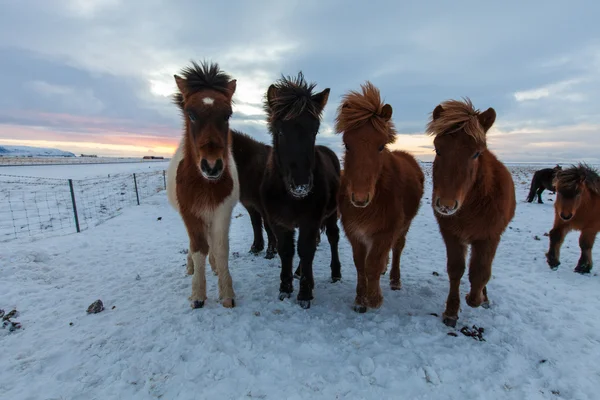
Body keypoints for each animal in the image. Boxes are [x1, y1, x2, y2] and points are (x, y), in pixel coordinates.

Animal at [166, 60, 239, 310]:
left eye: (227, 115)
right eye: (191, 114)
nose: (212, 166)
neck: (204, 184)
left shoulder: (222, 211)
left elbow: (221, 249)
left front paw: (227, 293)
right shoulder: (190, 213)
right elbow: (198, 249)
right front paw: (198, 294)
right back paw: (190, 267)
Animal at [262, 72, 342, 310]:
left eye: (314, 130)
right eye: (280, 131)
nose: (301, 185)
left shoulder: (310, 220)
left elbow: (306, 250)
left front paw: (305, 294)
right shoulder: (279, 222)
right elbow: (286, 250)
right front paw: (285, 289)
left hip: (331, 214)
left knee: (333, 238)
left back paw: (335, 273)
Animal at [336, 81, 424, 312]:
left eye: (381, 145)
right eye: (347, 144)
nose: (359, 198)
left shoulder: (385, 231)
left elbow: (372, 265)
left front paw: (374, 299)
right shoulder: (354, 232)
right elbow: (360, 265)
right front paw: (360, 299)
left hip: (404, 225)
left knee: (398, 248)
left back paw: (394, 279)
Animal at [426, 98, 516, 326]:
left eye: (476, 153)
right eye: (438, 149)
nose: (446, 204)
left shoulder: (489, 237)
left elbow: (480, 273)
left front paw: (477, 298)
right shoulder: (451, 235)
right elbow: (456, 269)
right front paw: (451, 311)